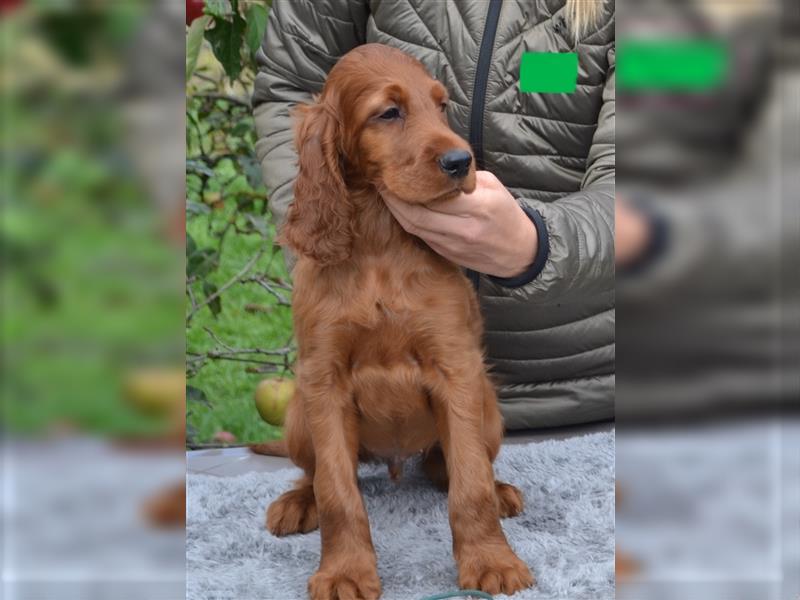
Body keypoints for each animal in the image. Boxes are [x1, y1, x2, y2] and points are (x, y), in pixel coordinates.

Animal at [266, 43, 536, 600]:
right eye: (388, 113)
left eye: (441, 105)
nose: (461, 161)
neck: (379, 239)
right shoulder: (323, 380)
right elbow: (336, 490)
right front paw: (345, 572)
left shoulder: (456, 369)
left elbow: (470, 483)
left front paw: (491, 560)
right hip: (298, 413)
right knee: (313, 474)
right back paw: (296, 503)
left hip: (488, 408)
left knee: (454, 466)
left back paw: (499, 490)